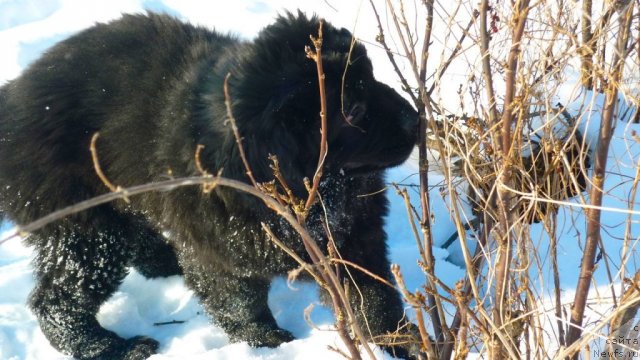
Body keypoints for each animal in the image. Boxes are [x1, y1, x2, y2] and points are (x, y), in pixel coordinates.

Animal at [0, 11, 418, 360]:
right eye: (353, 110)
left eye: (373, 78)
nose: (417, 118)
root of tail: (13, 97)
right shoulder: (218, 245)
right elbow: (238, 301)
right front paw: (269, 344)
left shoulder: (354, 233)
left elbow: (372, 294)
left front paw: (401, 342)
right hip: (85, 228)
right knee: (57, 300)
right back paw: (111, 347)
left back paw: (165, 262)